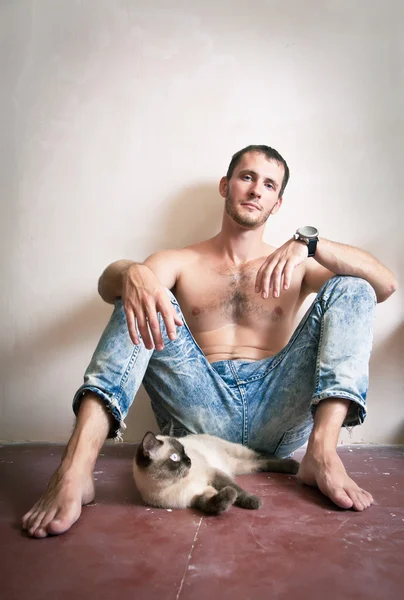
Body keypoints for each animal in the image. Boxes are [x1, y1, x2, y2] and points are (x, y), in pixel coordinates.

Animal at [133, 434, 300, 512]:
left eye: (184, 451)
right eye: (175, 457)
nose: (189, 460)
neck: (175, 483)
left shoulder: (213, 473)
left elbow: (239, 491)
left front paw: (252, 501)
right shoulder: (198, 496)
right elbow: (217, 502)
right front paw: (229, 496)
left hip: (240, 454)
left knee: (262, 456)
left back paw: (294, 465)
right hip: (243, 466)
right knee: (261, 464)